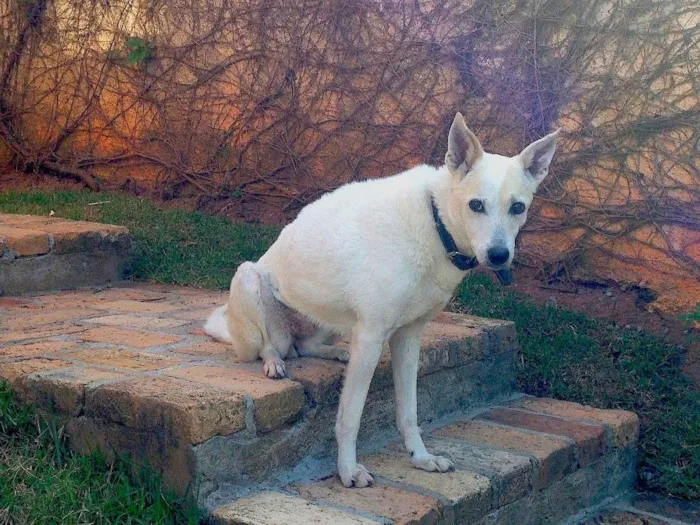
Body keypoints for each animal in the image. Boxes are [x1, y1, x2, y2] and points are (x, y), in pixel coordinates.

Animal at [204, 113, 556, 488]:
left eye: (517, 207)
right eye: (476, 205)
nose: (499, 255)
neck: (435, 224)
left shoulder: (408, 338)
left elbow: (409, 412)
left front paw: (420, 458)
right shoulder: (372, 335)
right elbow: (350, 417)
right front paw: (347, 470)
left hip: (334, 323)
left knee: (304, 346)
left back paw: (334, 353)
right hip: (249, 280)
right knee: (272, 346)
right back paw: (274, 363)